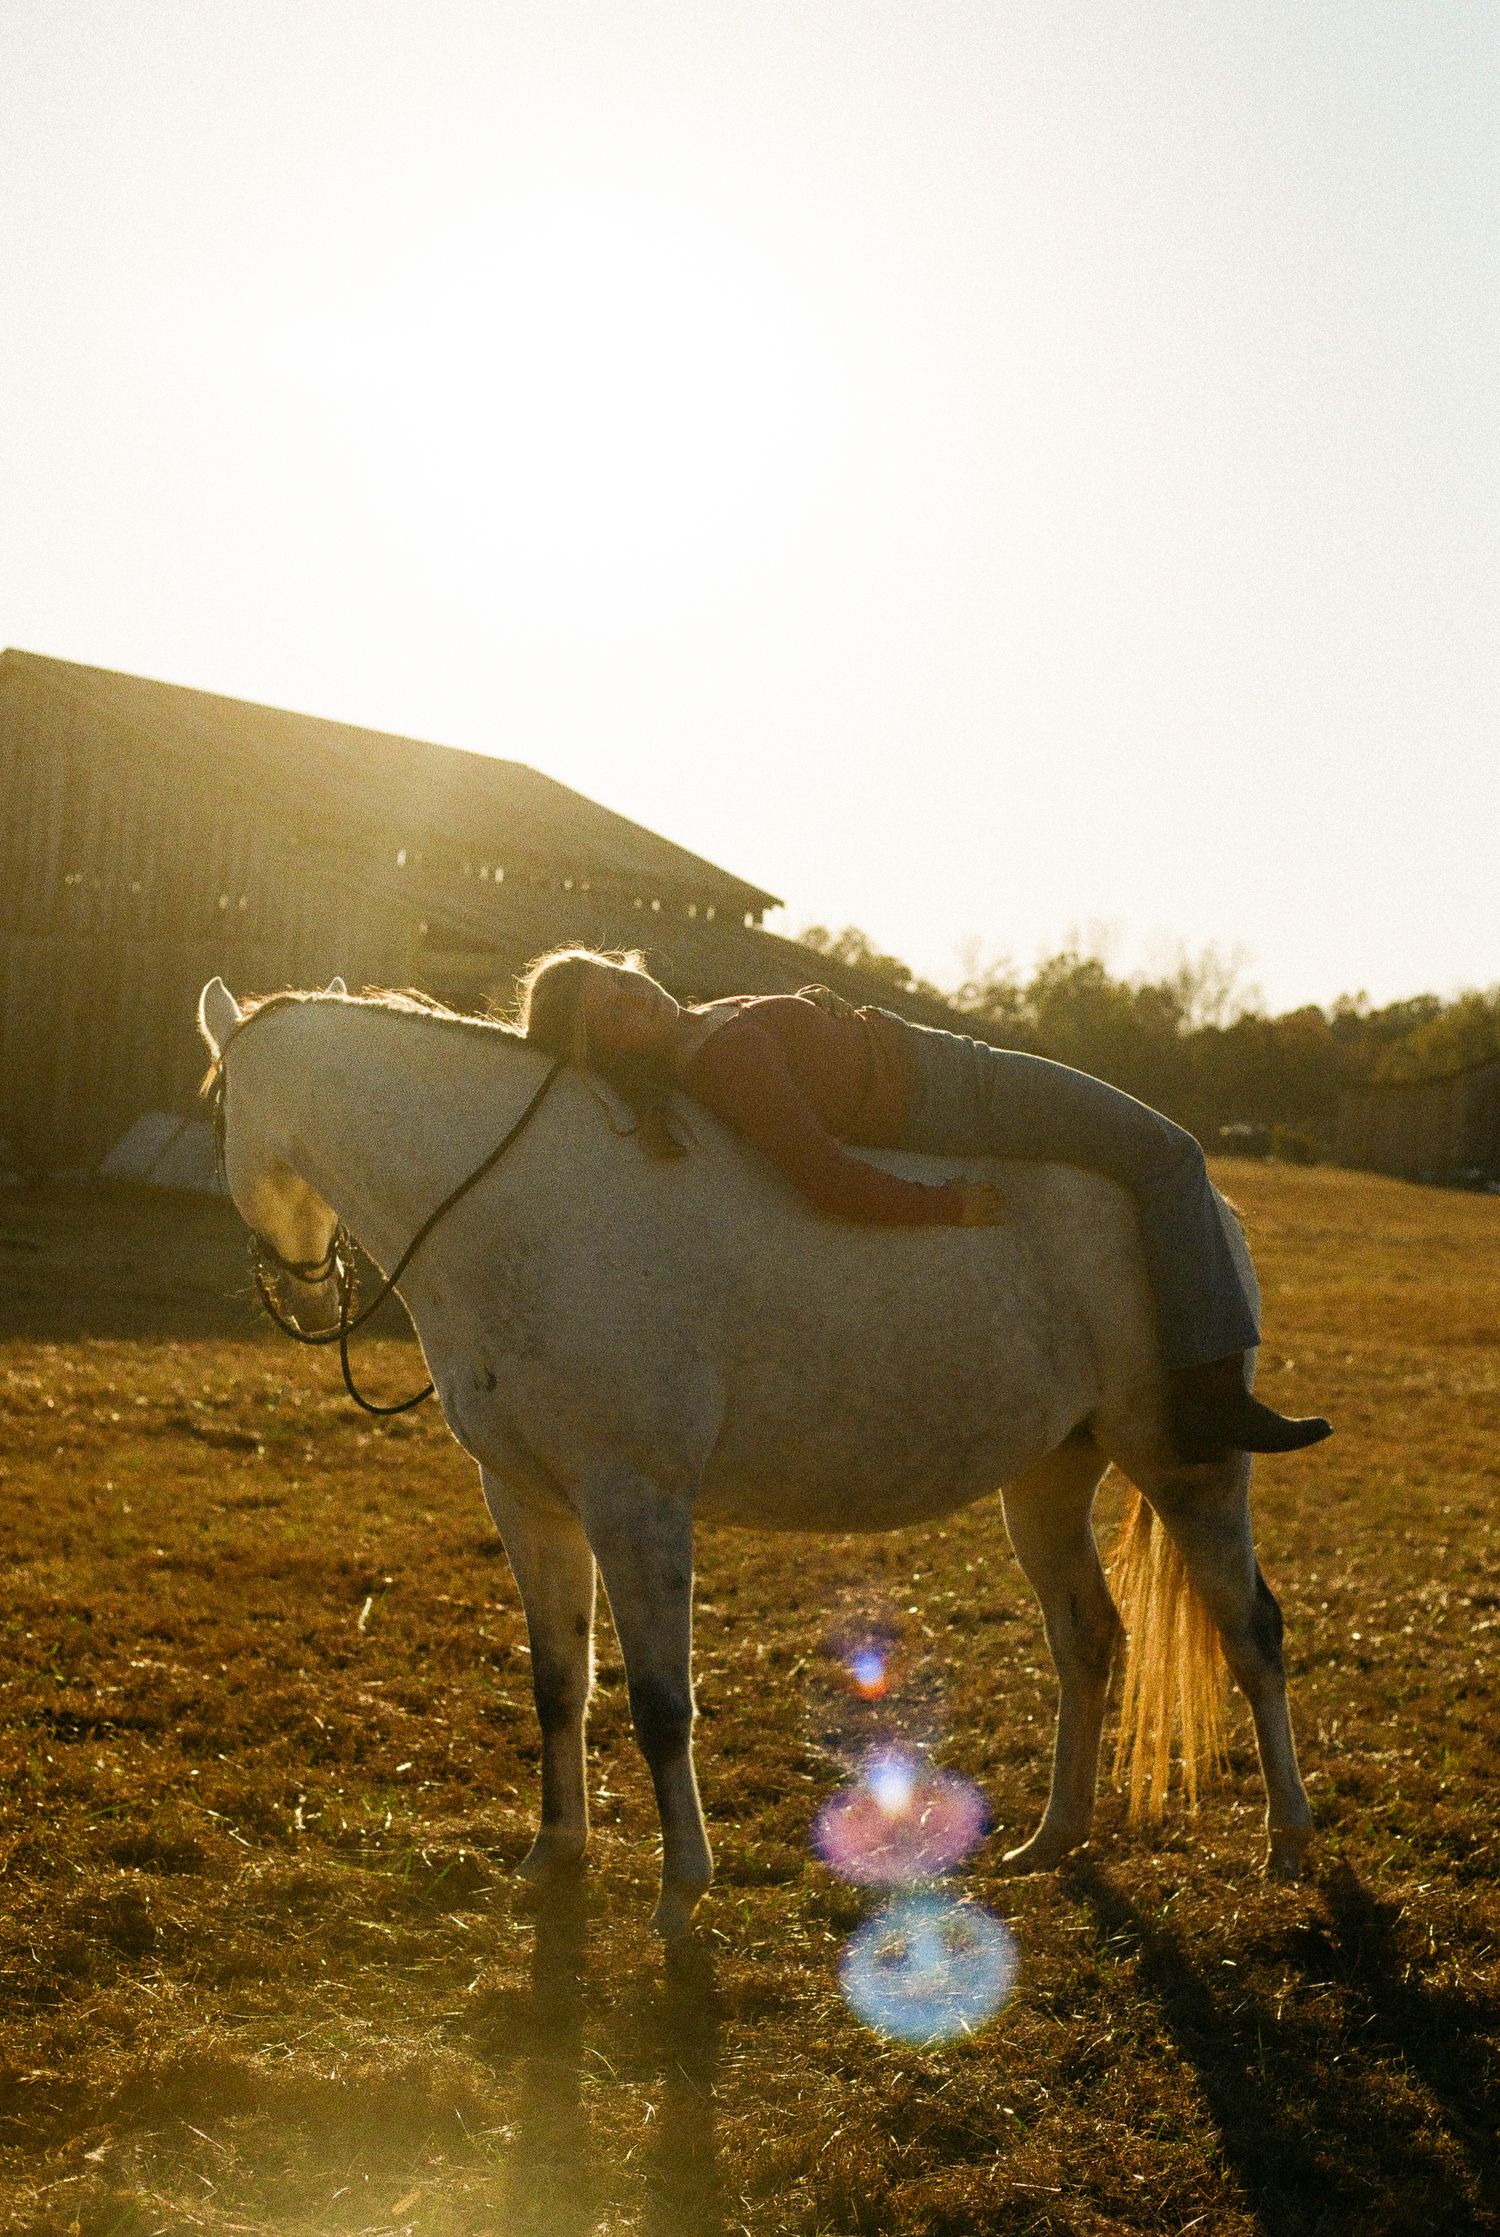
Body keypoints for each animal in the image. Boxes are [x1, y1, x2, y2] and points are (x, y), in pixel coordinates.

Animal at [197, 979, 1314, 1937]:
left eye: (209, 1110)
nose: (291, 1286)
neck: (518, 1210)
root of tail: (1213, 1210)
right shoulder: (528, 1500)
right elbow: (558, 1683)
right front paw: (554, 1855)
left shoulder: (636, 1500)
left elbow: (659, 1706)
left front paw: (679, 1890)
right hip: (1049, 1476)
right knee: (1088, 1639)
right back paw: (1052, 1838)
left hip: (1189, 1468)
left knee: (1250, 1631)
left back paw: (1290, 1840)